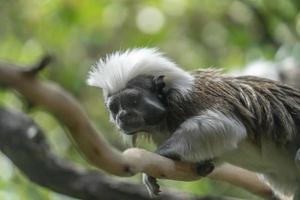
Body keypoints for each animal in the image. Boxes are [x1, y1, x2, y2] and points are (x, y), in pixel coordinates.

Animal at [88, 48, 300, 200]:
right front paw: (203, 165)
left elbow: (227, 126)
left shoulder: (194, 100)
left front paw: (162, 154)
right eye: (115, 108)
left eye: (132, 101)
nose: (122, 116)